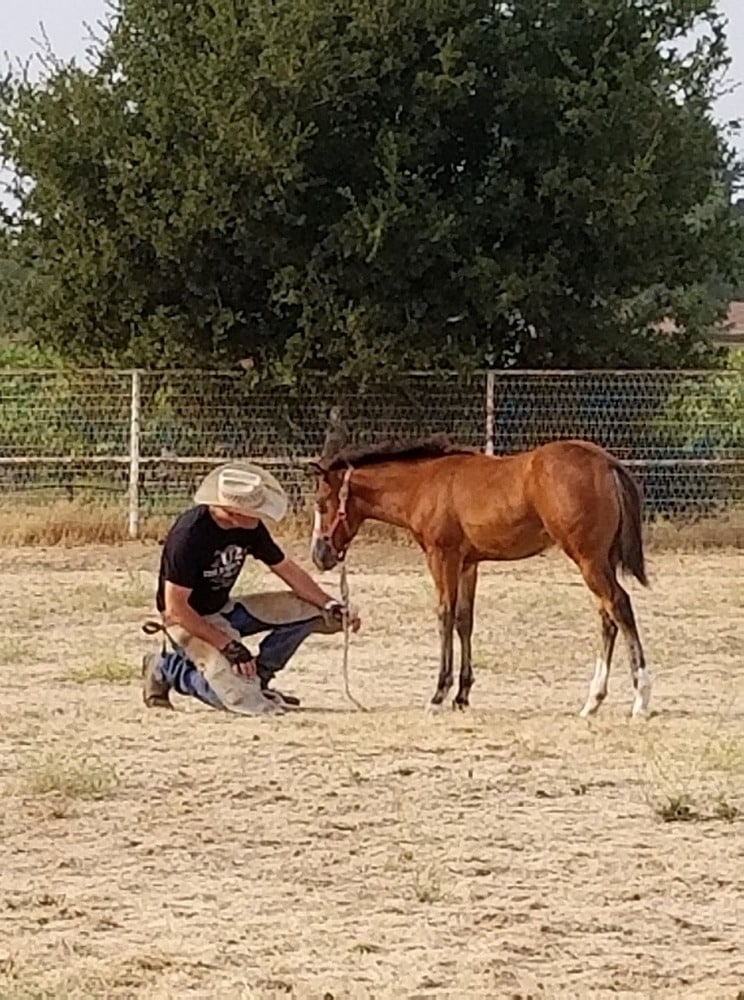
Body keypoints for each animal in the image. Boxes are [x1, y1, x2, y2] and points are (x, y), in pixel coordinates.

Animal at [309, 431, 652, 718]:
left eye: (322, 504)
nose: (319, 556)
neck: (423, 484)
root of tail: (605, 462)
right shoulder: (467, 564)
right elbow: (464, 620)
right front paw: (462, 696)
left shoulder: (442, 557)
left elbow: (445, 615)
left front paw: (438, 695)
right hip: (600, 559)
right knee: (607, 617)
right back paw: (593, 701)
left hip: (588, 558)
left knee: (619, 605)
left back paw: (641, 700)